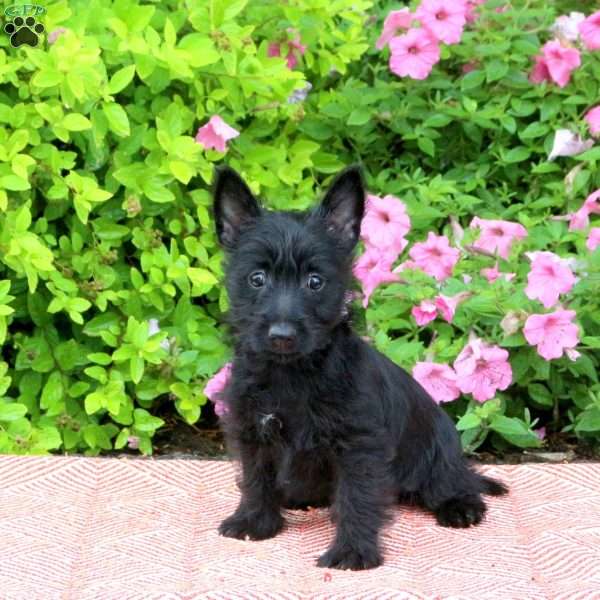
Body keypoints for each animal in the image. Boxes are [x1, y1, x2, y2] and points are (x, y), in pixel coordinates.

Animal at [212, 166, 506, 568]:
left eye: (315, 281)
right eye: (257, 278)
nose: (282, 335)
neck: (292, 373)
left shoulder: (359, 446)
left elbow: (357, 497)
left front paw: (352, 551)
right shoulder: (254, 429)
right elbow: (256, 478)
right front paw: (254, 522)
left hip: (436, 454)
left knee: (452, 481)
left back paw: (461, 506)